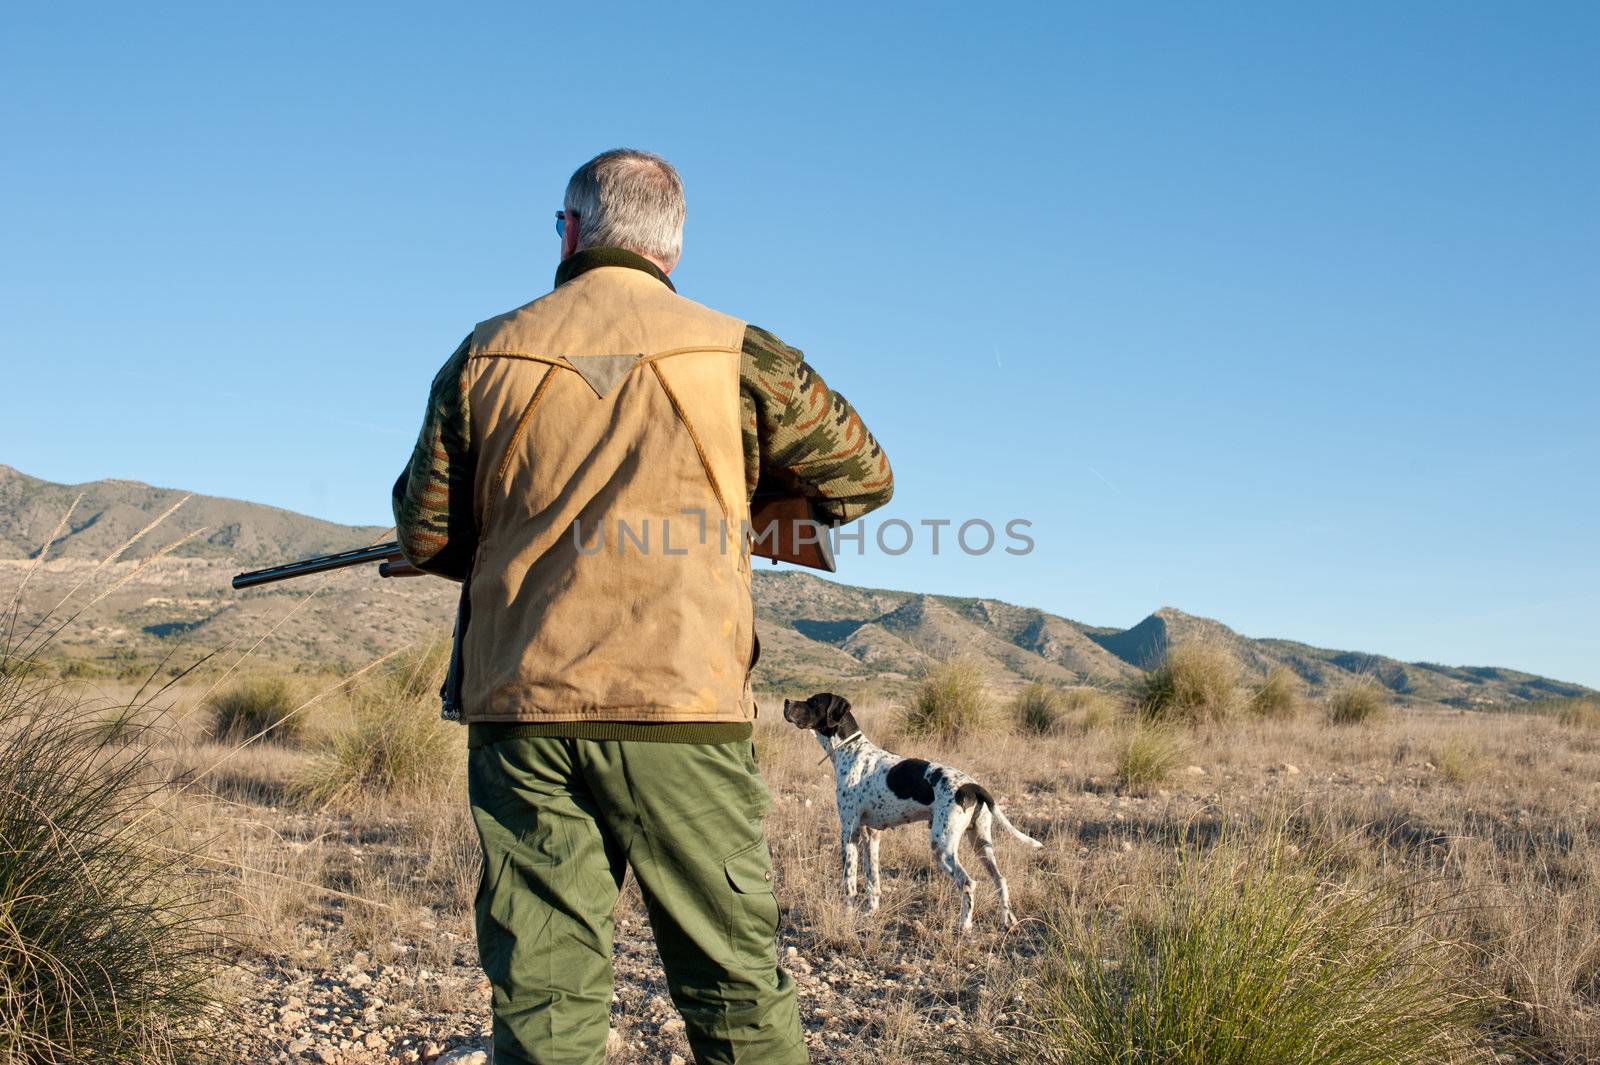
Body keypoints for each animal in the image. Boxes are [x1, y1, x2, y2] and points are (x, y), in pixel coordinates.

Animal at [780, 687, 1043, 927]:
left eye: (813, 702)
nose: (786, 701)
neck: (851, 751)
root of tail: (972, 786)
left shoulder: (849, 831)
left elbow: (849, 883)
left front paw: (846, 917)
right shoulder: (870, 835)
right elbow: (872, 879)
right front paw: (871, 912)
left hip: (942, 847)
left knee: (968, 883)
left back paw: (964, 927)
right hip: (981, 843)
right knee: (1001, 880)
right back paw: (1007, 921)